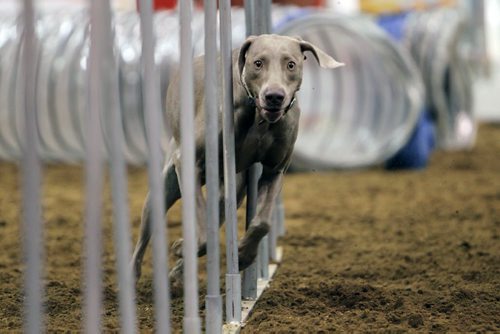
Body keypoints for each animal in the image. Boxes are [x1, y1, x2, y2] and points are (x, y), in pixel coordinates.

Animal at [129, 32, 344, 290]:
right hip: (166, 185)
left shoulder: (275, 171)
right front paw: (184, 246)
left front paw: (244, 256)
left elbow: (262, 223)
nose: (274, 96)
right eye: (258, 63)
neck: (259, 118)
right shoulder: (189, 164)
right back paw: (133, 275)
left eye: (291, 64)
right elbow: (203, 229)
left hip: (233, 188)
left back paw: (179, 272)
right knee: (146, 232)